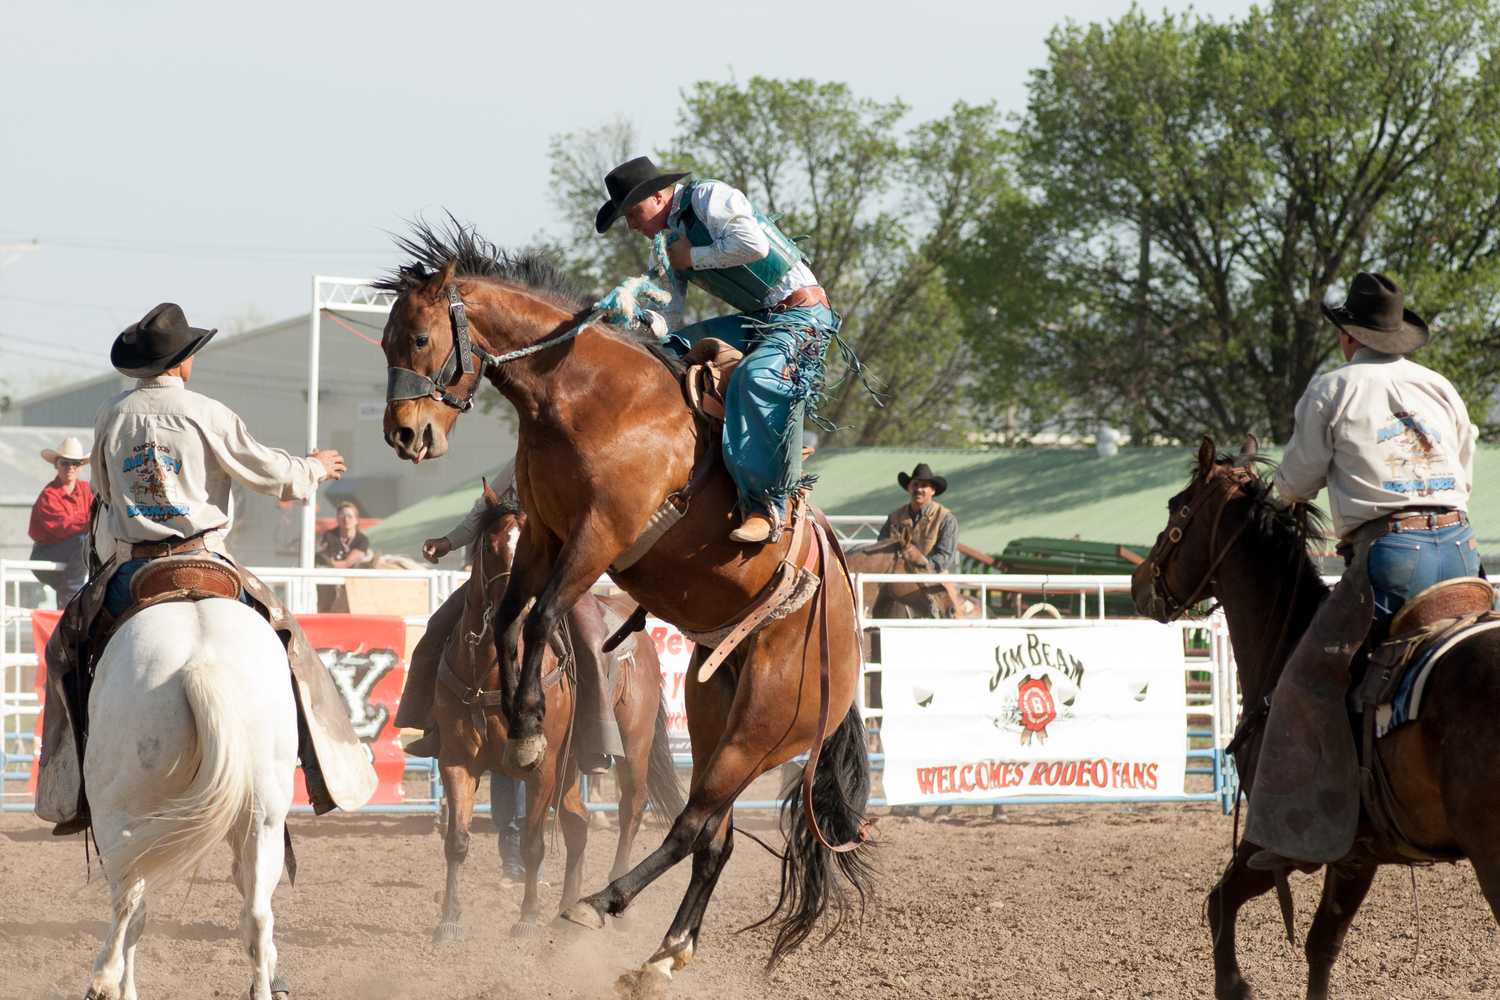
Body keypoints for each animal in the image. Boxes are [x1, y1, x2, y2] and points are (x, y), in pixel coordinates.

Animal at [81, 599, 297, 1000]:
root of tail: (201, 663)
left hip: (116, 815)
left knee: (130, 904)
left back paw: (105, 980)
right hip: (264, 819)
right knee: (257, 915)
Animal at [430, 482, 684, 941]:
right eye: (490, 546)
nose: (515, 611)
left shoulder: (543, 765)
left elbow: (533, 843)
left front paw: (527, 918)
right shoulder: (456, 759)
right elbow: (456, 840)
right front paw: (449, 921)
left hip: (632, 748)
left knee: (629, 812)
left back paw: (614, 905)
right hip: (574, 762)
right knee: (578, 824)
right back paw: (568, 909)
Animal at [1131, 437, 1500, 1000]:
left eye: (1178, 507)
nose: (1136, 581)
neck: (1287, 644)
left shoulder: (1278, 840)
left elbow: (1220, 902)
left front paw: (1235, 985)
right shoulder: (1357, 855)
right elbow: (1322, 946)